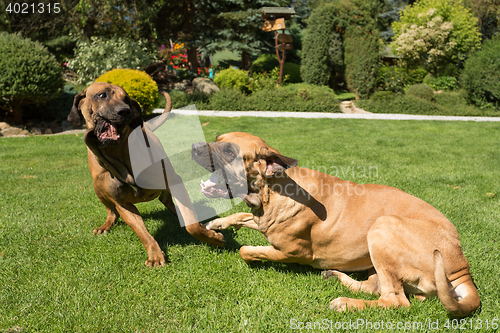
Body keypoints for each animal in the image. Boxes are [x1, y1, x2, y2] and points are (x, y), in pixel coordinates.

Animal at [67, 83, 224, 268]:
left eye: (126, 99)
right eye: (102, 95)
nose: (125, 111)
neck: (118, 155)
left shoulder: (174, 181)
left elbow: (191, 225)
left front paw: (213, 238)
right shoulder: (122, 203)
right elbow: (142, 232)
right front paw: (155, 254)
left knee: (171, 202)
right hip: (97, 188)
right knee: (112, 211)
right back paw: (106, 225)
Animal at [191, 131, 480, 316]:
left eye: (229, 151)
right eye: (217, 138)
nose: (192, 147)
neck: (274, 190)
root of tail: (461, 266)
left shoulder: (294, 252)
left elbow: (246, 250)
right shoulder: (262, 220)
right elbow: (243, 217)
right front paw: (218, 224)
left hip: (382, 226)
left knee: (395, 300)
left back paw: (347, 303)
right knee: (375, 287)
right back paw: (336, 277)